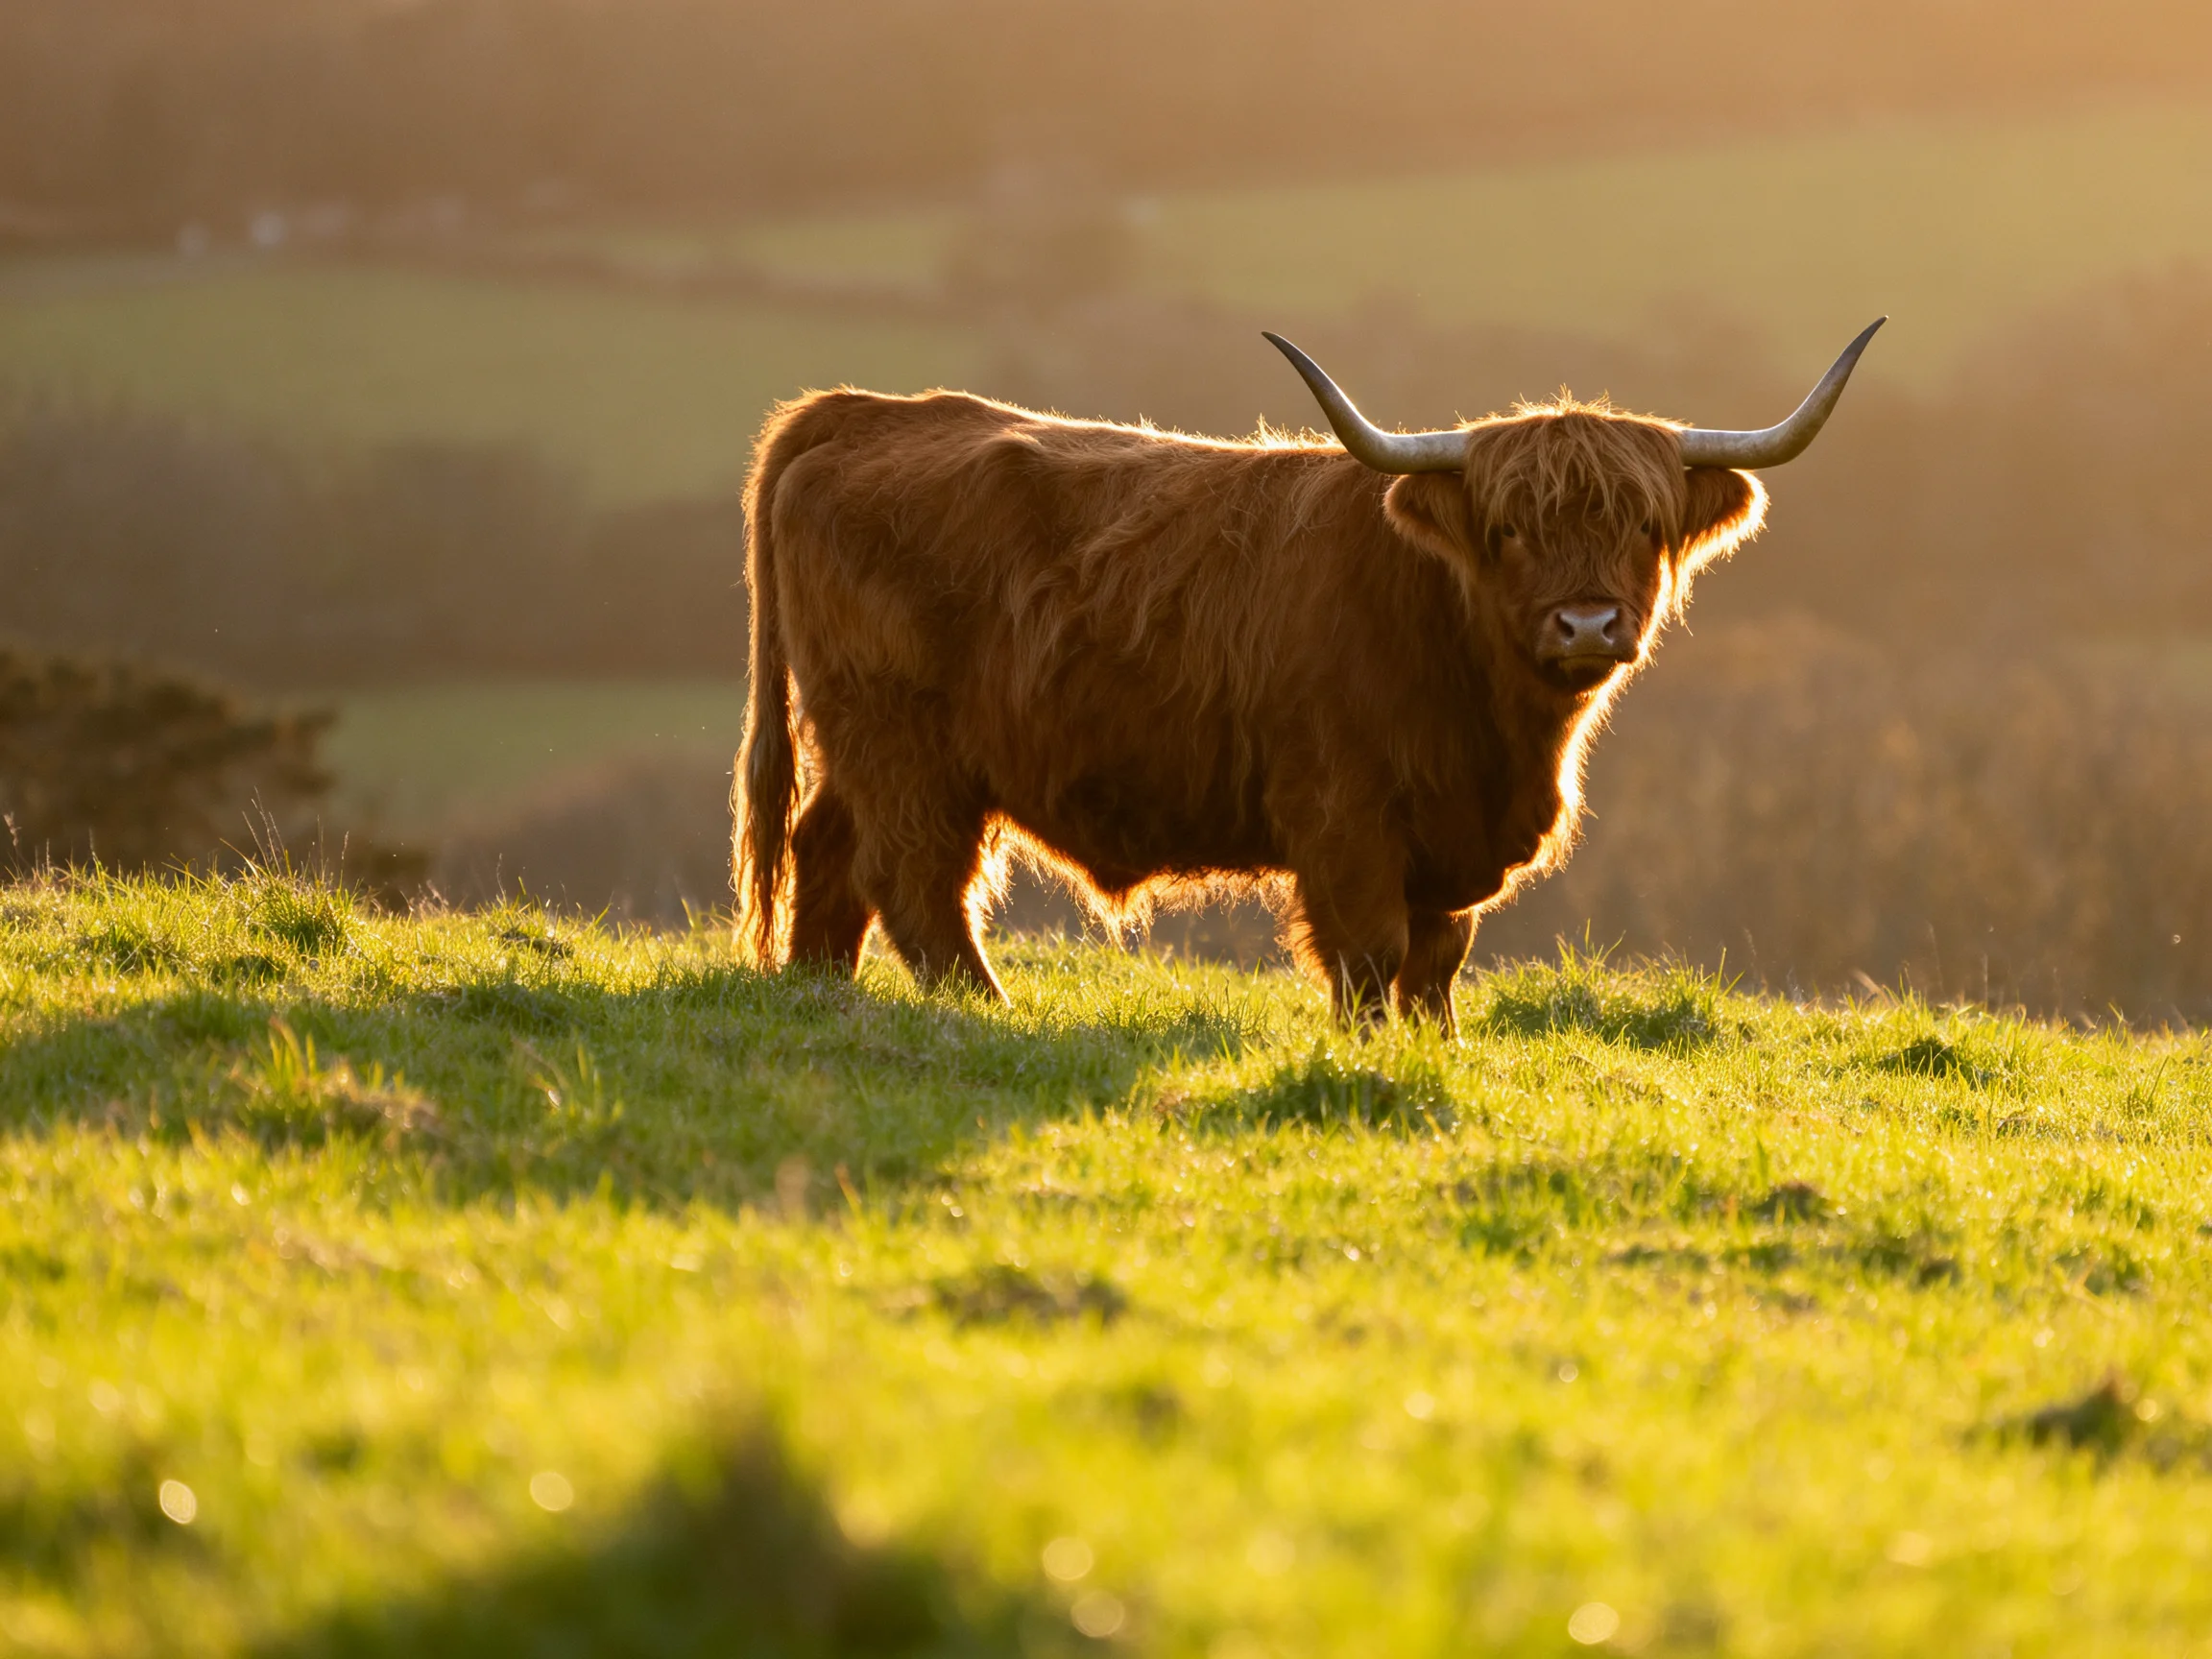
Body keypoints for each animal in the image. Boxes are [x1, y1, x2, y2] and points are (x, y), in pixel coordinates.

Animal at [735, 320, 1883, 1030]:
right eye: (1509, 530)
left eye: (1645, 526)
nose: (1589, 623)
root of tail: (861, 411)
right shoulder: (1343, 814)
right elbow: (1371, 953)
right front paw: (1370, 1047)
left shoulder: (1449, 844)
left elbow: (1438, 962)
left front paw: (1436, 1046)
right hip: (906, 746)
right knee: (915, 880)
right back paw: (984, 1010)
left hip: (863, 745)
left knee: (827, 851)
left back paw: (817, 992)